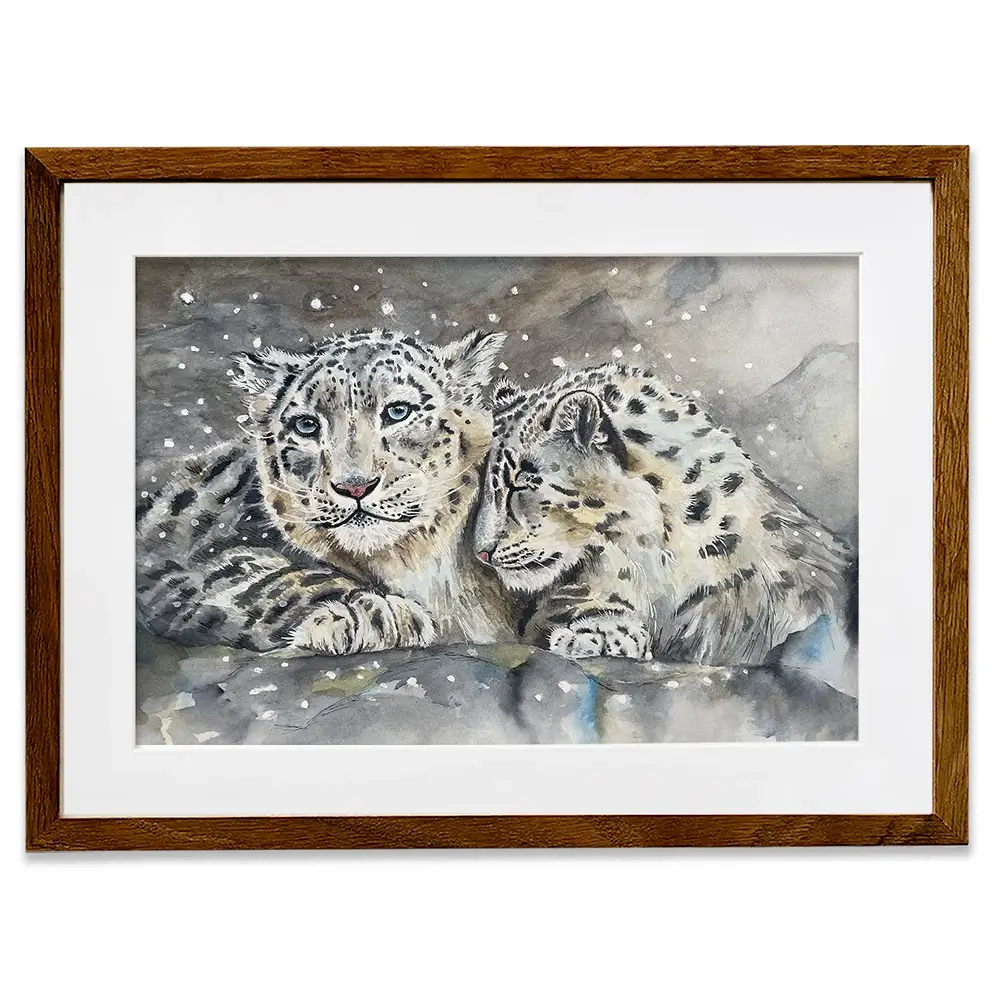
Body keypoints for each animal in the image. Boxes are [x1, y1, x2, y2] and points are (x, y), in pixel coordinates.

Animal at [136, 328, 518, 656]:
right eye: (306, 425)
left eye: (398, 411)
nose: (354, 486)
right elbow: (271, 578)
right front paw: (376, 614)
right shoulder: (189, 560)